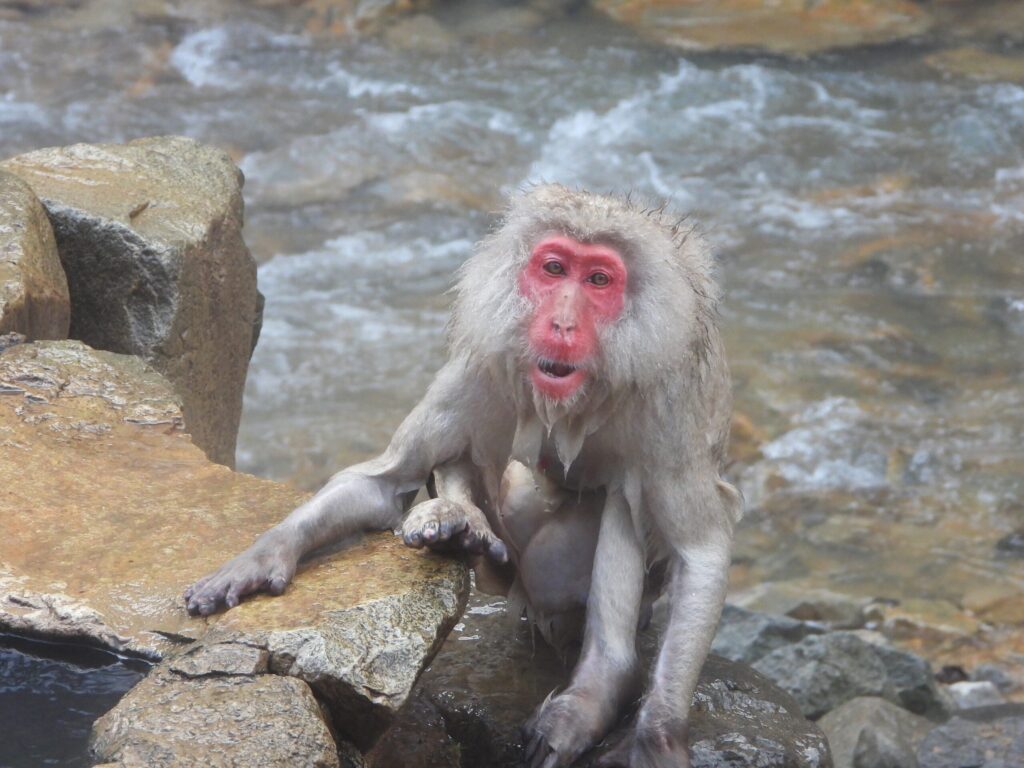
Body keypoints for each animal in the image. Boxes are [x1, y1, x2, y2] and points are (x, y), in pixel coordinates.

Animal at [185, 185, 742, 768]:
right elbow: (384, 481)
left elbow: (699, 551)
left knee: (621, 499)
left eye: (598, 280)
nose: (562, 324)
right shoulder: (485, 358)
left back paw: (599, 685)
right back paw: (460, 528)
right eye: (554, 268)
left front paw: (656, 734)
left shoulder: (671, 403)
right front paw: (261, 556)